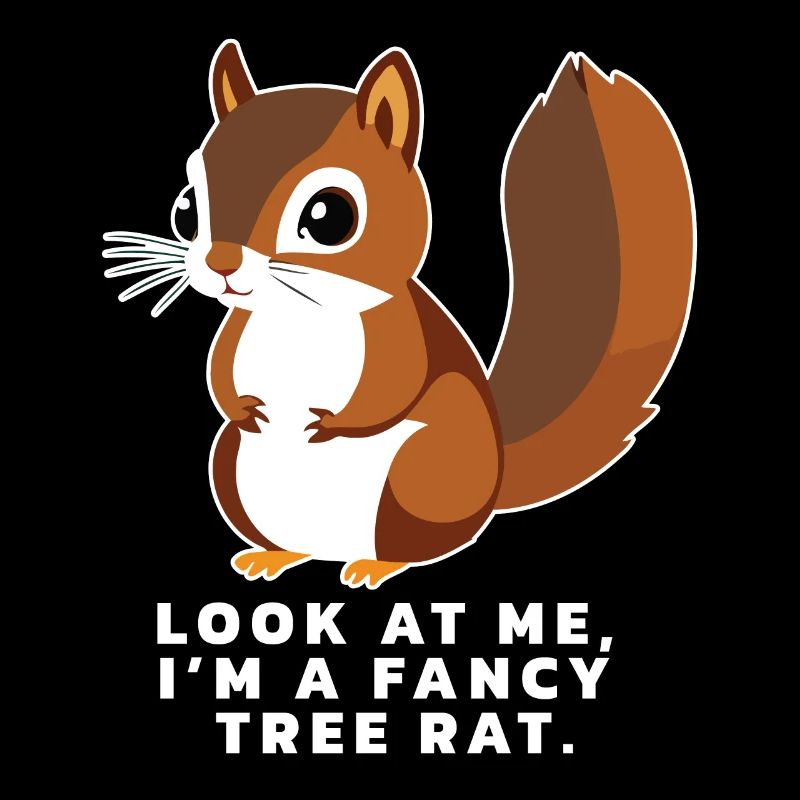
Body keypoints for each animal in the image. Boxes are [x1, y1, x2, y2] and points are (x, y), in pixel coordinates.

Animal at [104, 40, 694, 589]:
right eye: (186, 207)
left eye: (329, 215)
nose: (221, 263)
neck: (296, 316)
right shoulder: (237, 333)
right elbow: (219, 375)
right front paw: (245, 409)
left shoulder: (399, 333)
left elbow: (391, 387)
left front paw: (328, 424)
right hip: (231, 469)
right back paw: (274, 555)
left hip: (421, 476)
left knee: (415, 546)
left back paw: (374, 565)